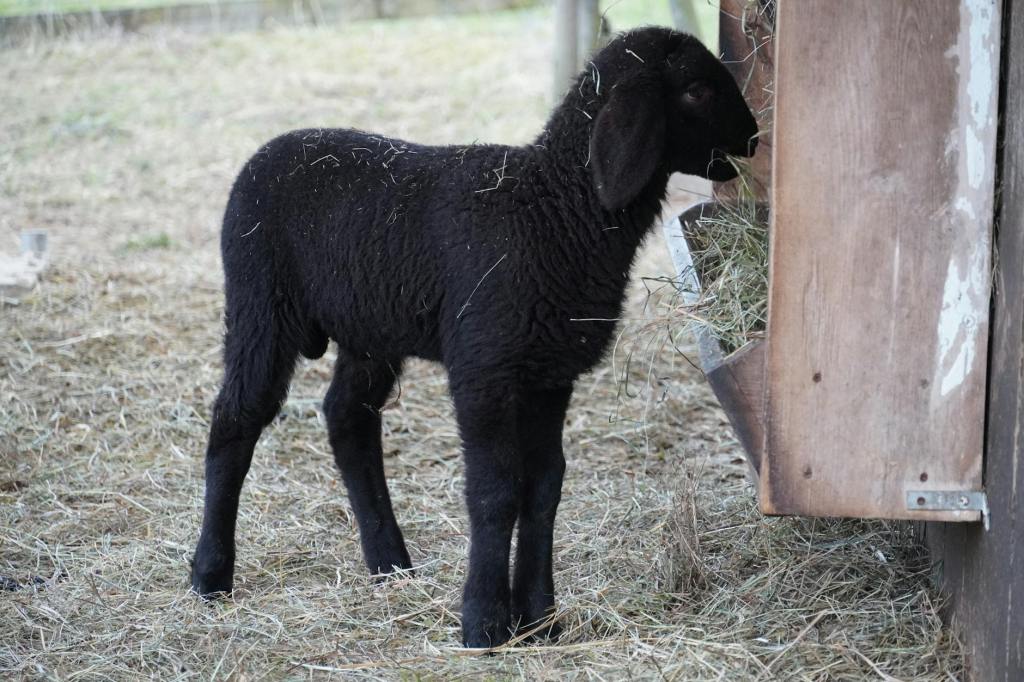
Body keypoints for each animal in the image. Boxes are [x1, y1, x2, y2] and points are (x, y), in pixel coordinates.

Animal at [190, 26, 758, 648]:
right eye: (697, 89)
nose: (755, 137)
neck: (557, 209)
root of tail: (264, 152)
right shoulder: (485, 367)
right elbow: (496, 489)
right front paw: (484, 623)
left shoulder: (548, 373)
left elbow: (545, 487)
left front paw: (540, 618)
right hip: (260, 305)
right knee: (235, 420)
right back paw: (210, 575)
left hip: (371, 327)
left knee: (347, 417)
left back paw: (390, 564)